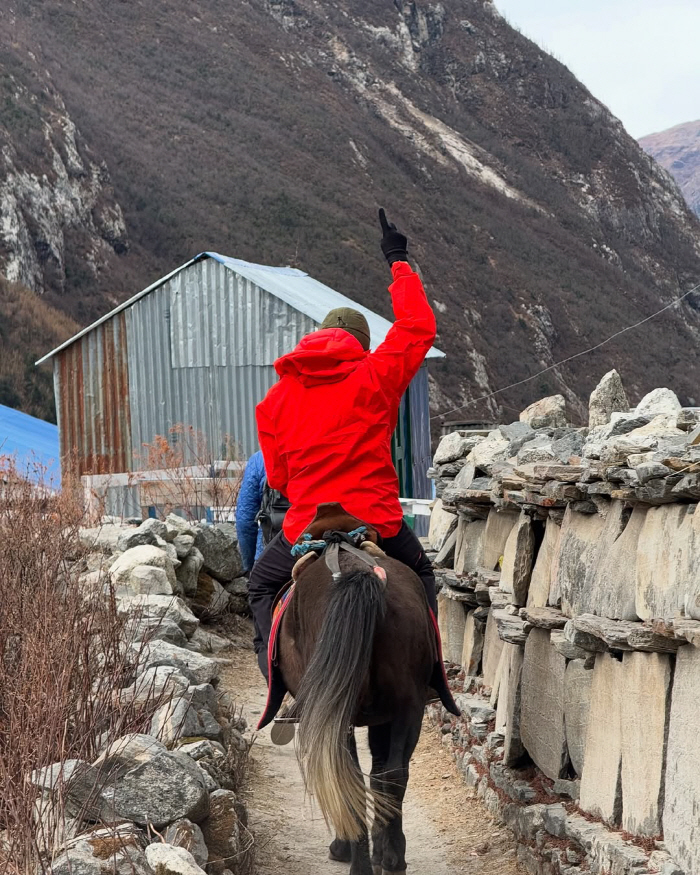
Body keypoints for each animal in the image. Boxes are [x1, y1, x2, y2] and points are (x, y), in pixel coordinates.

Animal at [274, 506, 442, 875]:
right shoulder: (386, 717)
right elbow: (381, 772)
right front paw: (383, 848)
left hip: (342, 714)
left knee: (345, 773)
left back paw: (358, 860)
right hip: (408, 705)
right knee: (393, 774)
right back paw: (392, 859)